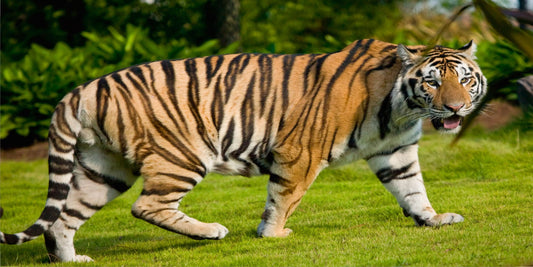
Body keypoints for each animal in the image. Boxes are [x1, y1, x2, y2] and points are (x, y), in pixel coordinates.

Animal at [0, 38, 486, 262]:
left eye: (465, 79)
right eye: (431, 82)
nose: (455, 108)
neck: (400, 110)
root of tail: (82, 87)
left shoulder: (396, 153)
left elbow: (413, 189)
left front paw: (433, 219)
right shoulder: (300, 151)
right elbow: (284, 197)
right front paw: (272, 235)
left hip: (105, 168)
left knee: (63, 218)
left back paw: (72, 259)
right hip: (183, 154)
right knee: (147, 205)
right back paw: (210, 231)